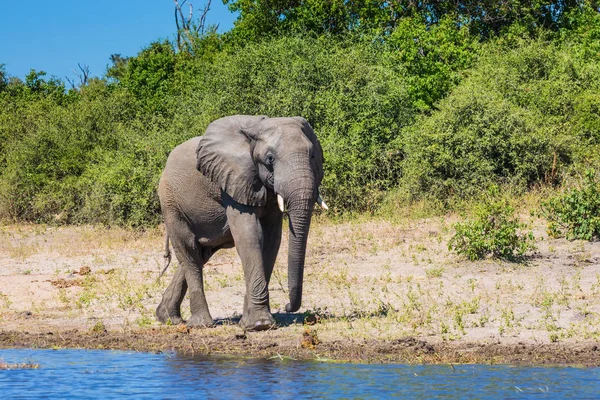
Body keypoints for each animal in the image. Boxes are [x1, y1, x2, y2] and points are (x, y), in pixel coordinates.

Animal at [152, 115, 326, 332]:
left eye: (312, 155)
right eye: (270, 158)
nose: (287, 305)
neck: (258, 127)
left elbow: (271, 239)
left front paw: (249, 321)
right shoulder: (233, 180)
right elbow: (249, 235)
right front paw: (260, 325)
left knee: (200, 253)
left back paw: (167, 318)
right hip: (171, 203)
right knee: (188, 249)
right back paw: (201, 324)